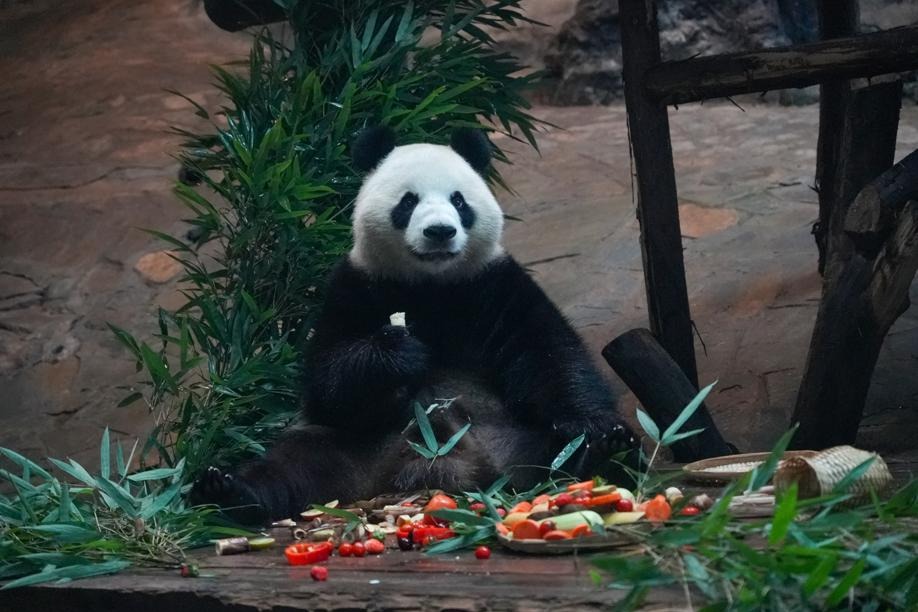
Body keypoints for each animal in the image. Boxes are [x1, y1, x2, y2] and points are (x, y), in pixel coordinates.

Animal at [190, 126, 639, 524]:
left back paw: (607, 450)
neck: (430, 285)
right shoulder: (354, 287)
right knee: (290, 464)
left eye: (459, 201)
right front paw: (398, 352)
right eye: (408, 202)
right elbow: (328, 379)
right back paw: (224, 491)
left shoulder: (494, 285)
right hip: (350, 447)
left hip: (510, 435)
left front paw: (595, 425)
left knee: (555, 451)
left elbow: (549, 353)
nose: (439, 231)